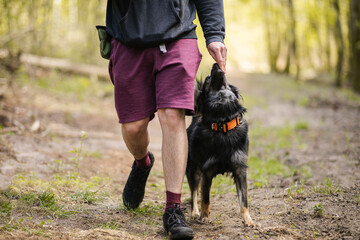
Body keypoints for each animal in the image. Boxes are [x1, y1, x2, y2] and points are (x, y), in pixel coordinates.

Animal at [187, 62, 255, 226]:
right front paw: (205, 217)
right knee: (194, 192)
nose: (215, 63)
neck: (223, 124)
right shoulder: (206, 171)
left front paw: (248, 220)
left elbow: (244, 200)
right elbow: (205, 198)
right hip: (193, 169)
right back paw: (195, 212)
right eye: (207, 80)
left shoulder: (240, 169)